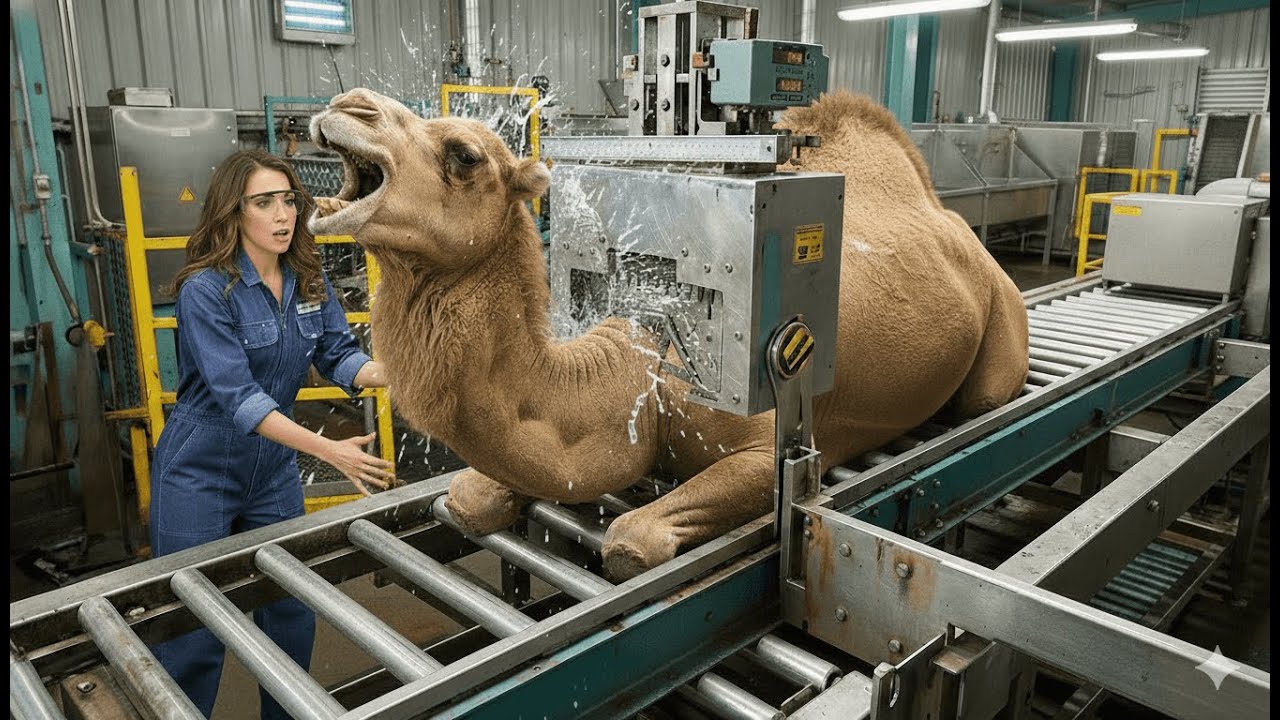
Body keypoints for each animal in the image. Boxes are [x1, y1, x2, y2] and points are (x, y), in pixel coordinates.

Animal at [308, 88, 1028, 581]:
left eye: (463, 154)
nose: (348, 105)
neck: (645, 372)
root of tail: (952, 221)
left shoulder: (767, 441)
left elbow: (631, 541)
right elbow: (472, 495)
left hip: (999, 312)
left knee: (987, 395)